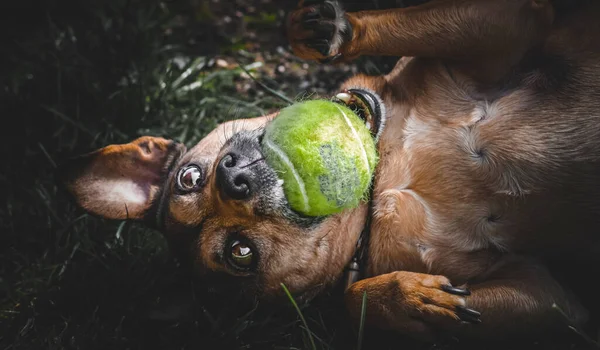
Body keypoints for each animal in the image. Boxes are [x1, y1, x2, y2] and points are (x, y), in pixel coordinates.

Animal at [61, 0, 600, 342]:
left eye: (188, 177)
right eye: (240, 253)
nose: (232, 179)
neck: (388, 176)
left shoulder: (508, 29)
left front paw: (329, 30)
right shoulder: (548, 297)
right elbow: (352, 297)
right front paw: (406, 298)